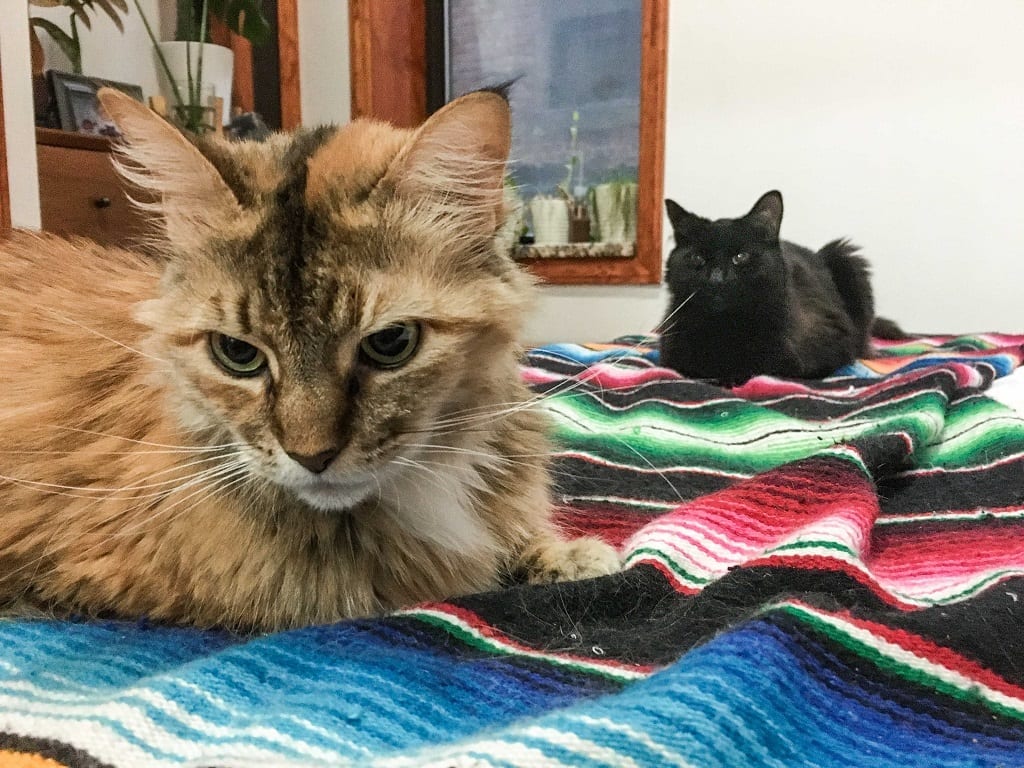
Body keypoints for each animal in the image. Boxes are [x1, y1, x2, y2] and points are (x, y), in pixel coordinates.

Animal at [659, 192, 884, 385]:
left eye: (740, 256)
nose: (716, 278)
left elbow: (763, 366)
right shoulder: (671, 353)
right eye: (698, 258)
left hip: (847, 258)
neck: (723, 326)